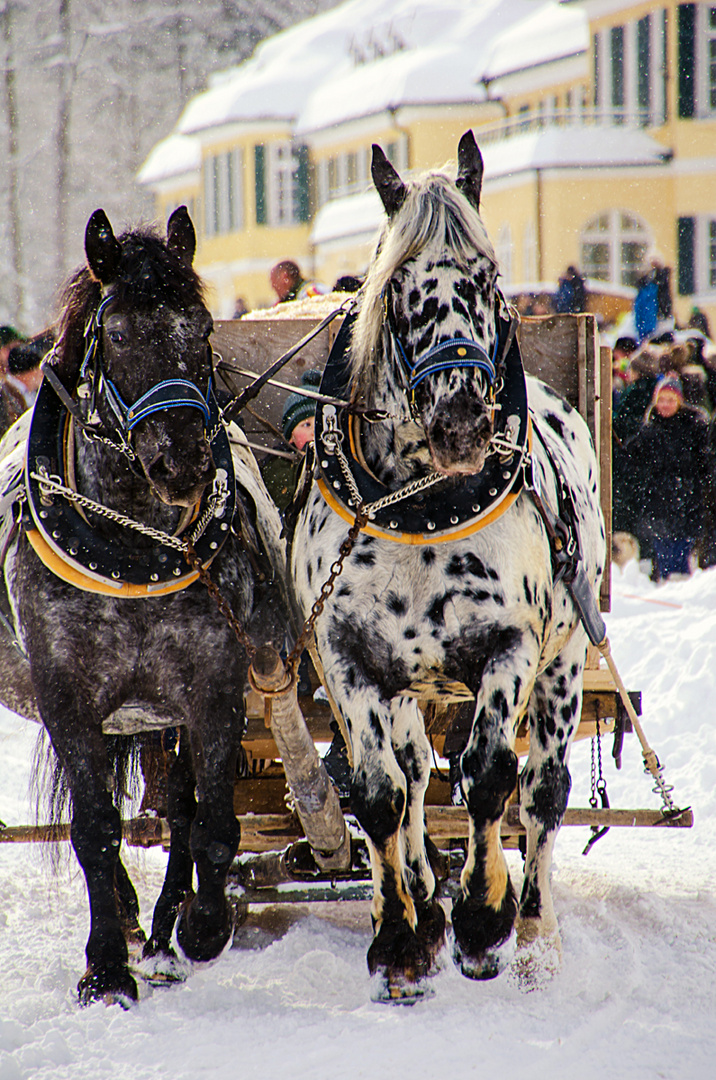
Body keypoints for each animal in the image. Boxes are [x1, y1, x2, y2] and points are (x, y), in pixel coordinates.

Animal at [0, 204, 285, 1002]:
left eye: (205, 328)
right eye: (119, 333)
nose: (183, 462)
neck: (132, 550)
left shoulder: (213, 687)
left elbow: (210, 820)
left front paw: (201, 925)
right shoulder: (67, 694)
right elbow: (95, 828)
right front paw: (105, 967)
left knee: (180, 808)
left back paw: (158, 931)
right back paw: (127, 922)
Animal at [289, 135, 609, 1002]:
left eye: (490, 278)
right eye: (399, 287)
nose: (463, 417)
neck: (423, 505)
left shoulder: (511, 648)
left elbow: (491, 775)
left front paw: (482, 917)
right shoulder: (348, 658)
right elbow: (381, 794)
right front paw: (402, 936)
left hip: (566, 661)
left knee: (542, 791)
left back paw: (533, 935)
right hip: (407, 688)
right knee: (410, 782)